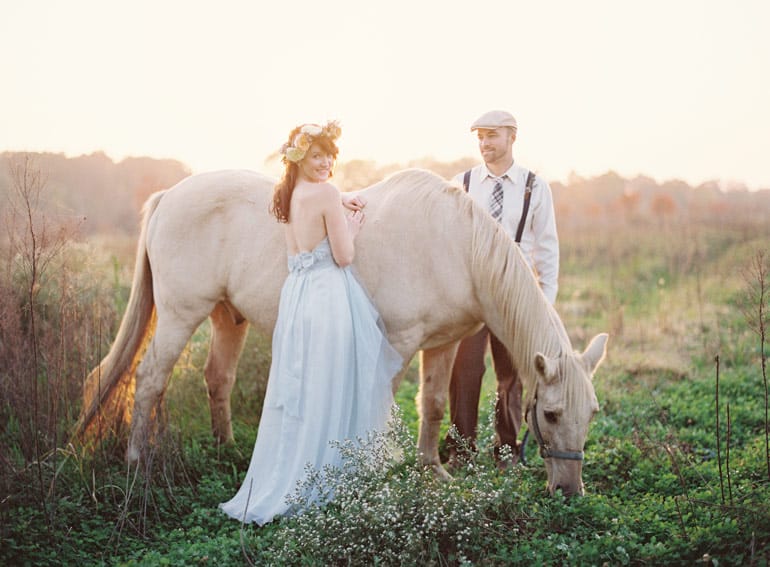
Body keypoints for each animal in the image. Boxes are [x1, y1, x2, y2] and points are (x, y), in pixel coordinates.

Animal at [76, 168, 608, 496]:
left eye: (592, 413)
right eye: (552, 414)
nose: (568, 491)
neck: (456, 245)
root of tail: (169, 196)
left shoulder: (443, 344)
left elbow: (433, 405)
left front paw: (432, 471)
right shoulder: (398, 342)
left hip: (227, 317)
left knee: (217, 378)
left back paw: (227, 452)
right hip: (180, 315)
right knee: (149, 380)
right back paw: (137, 464)